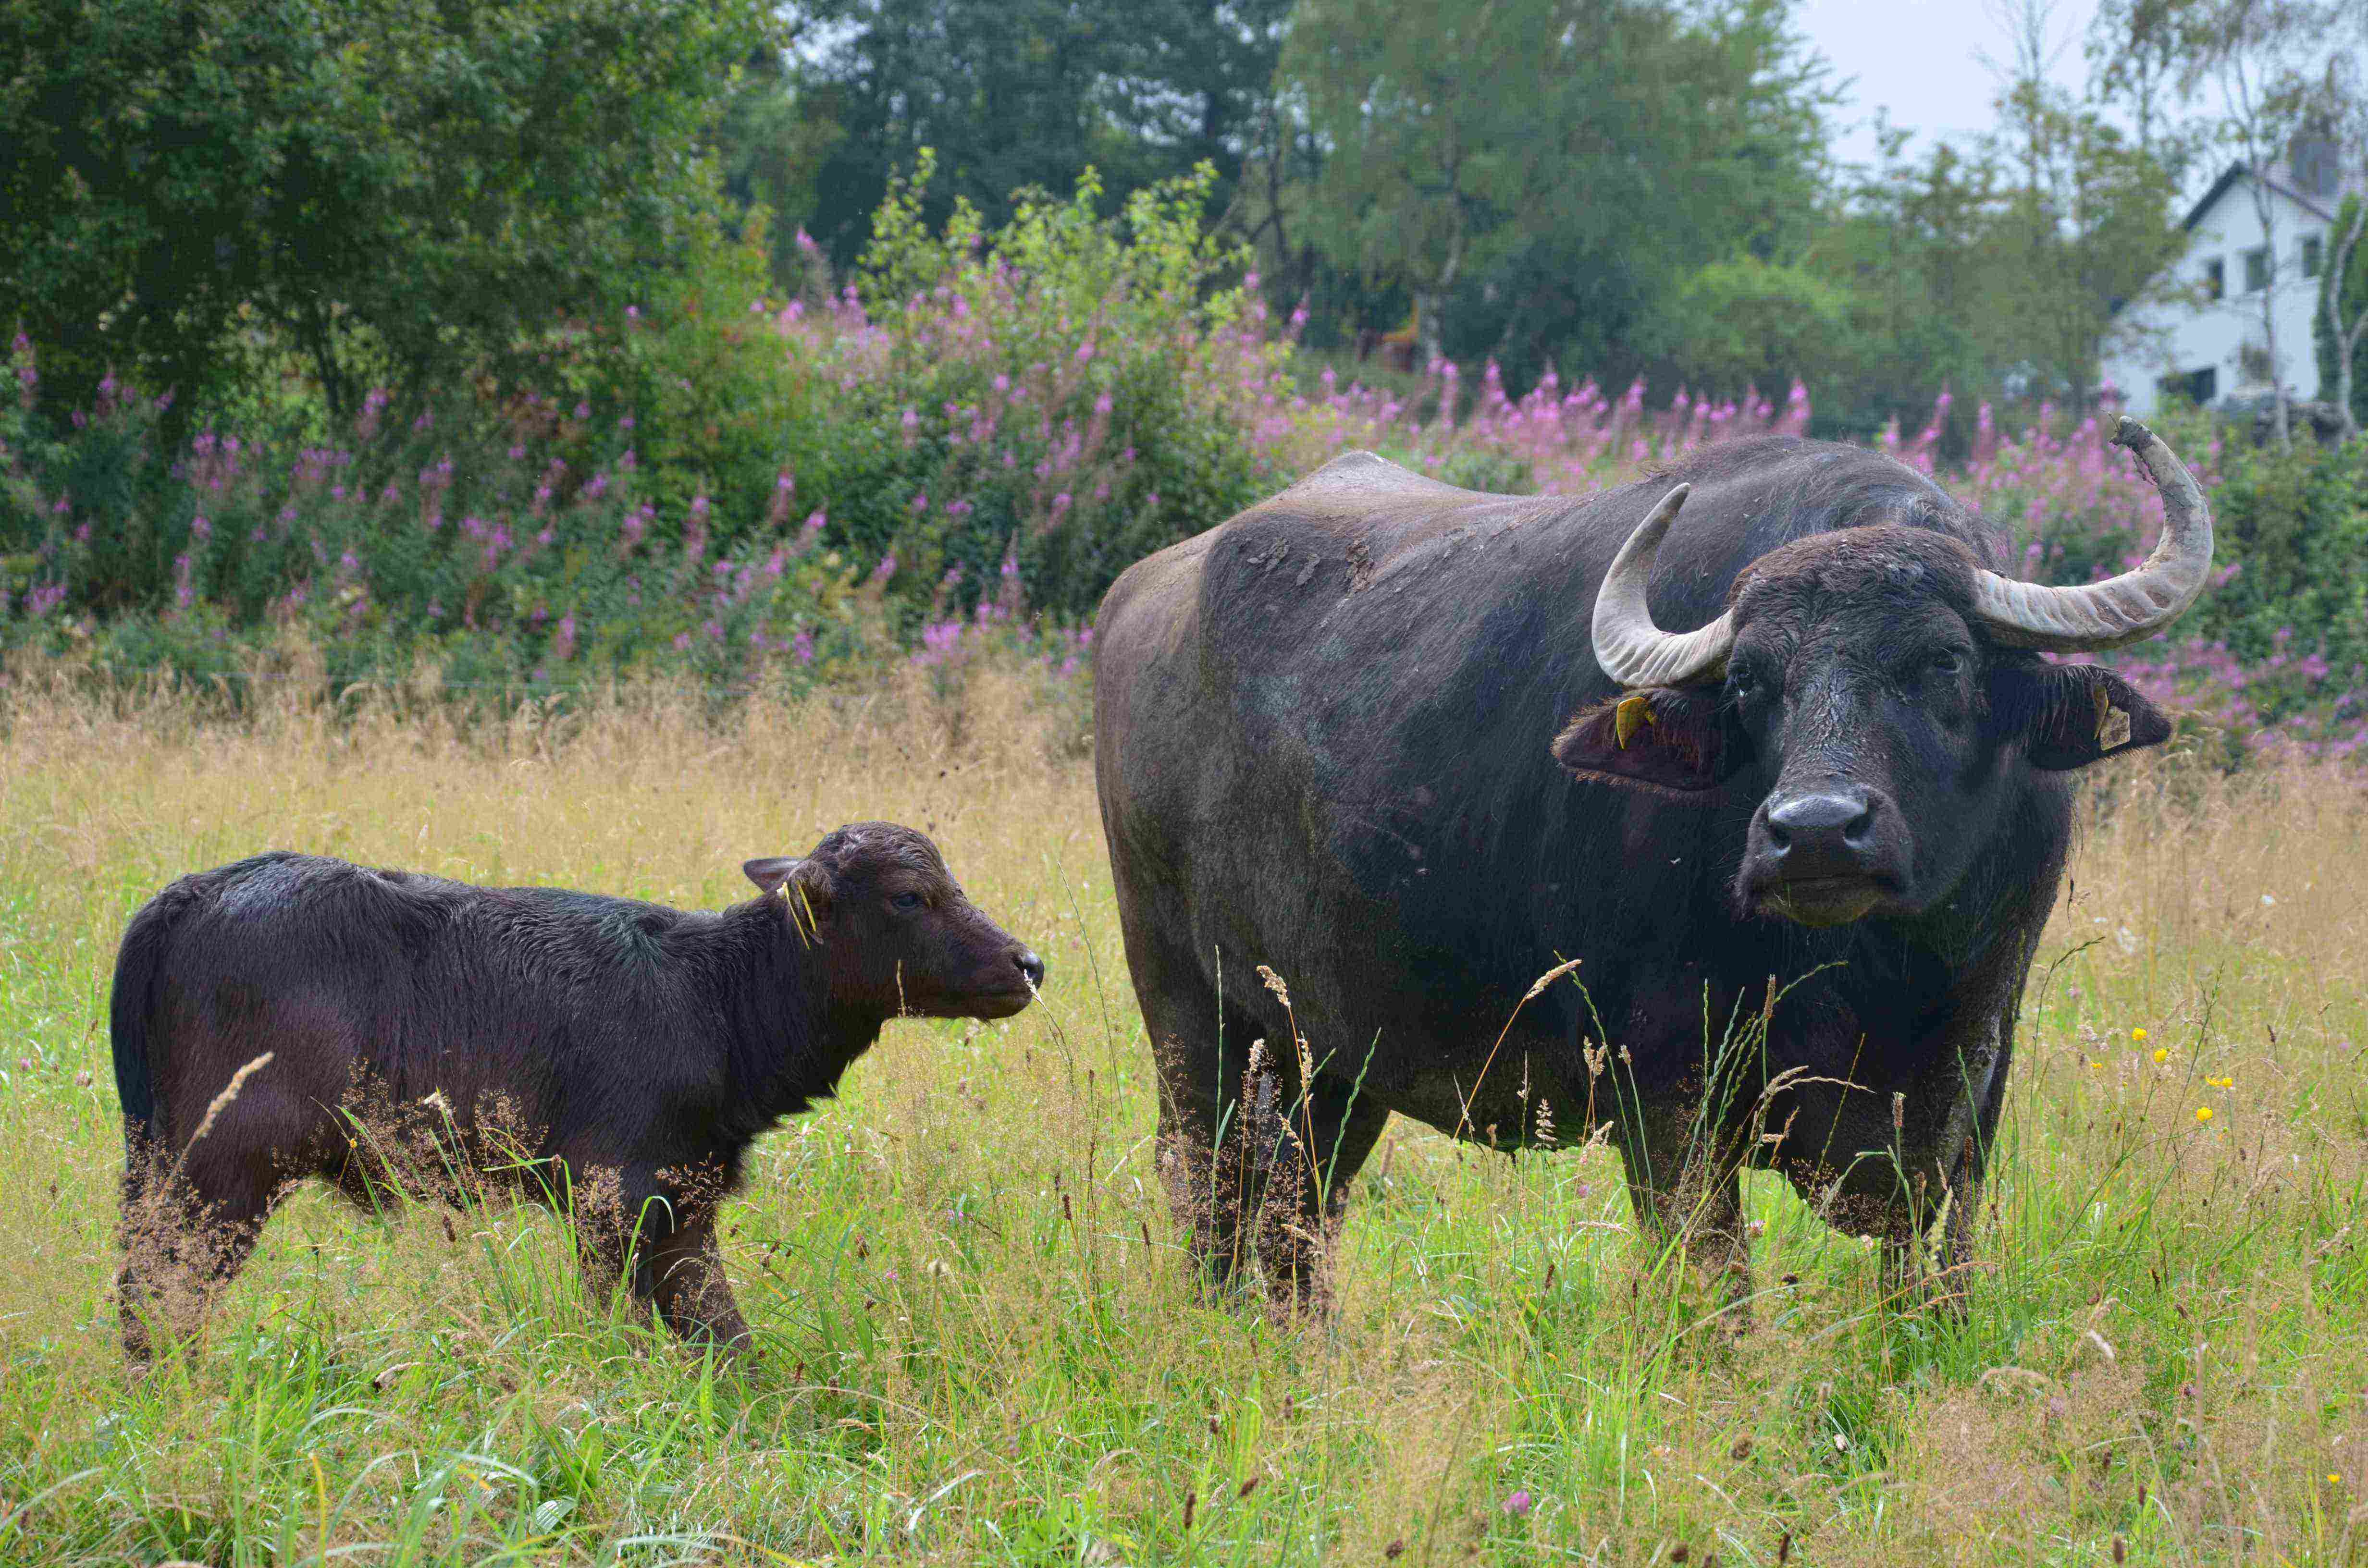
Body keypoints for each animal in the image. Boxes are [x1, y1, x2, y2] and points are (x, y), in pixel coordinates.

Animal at [111, 824, 1037, 1364]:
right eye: (911, 895)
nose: (1028, 963)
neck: (714, 997)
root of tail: (193, 891)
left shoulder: (683, 1207)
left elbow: (725, 1338)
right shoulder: (611, 1200)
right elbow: (617, 1328)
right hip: (222, 1173)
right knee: (163, 1293)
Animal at [1098, 421, 2207, 1317]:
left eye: (1944, 663)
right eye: (1752, 682)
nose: (1814, 832)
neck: (1876, 977)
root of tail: (1140, 596)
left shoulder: (1974, 1074)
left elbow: (1935, 1277)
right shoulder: (1663, 1092)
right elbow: (1718, 1289)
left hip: (1329, 1054)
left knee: (1296, 1212)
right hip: (1187, 1009)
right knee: (1208, 1190)